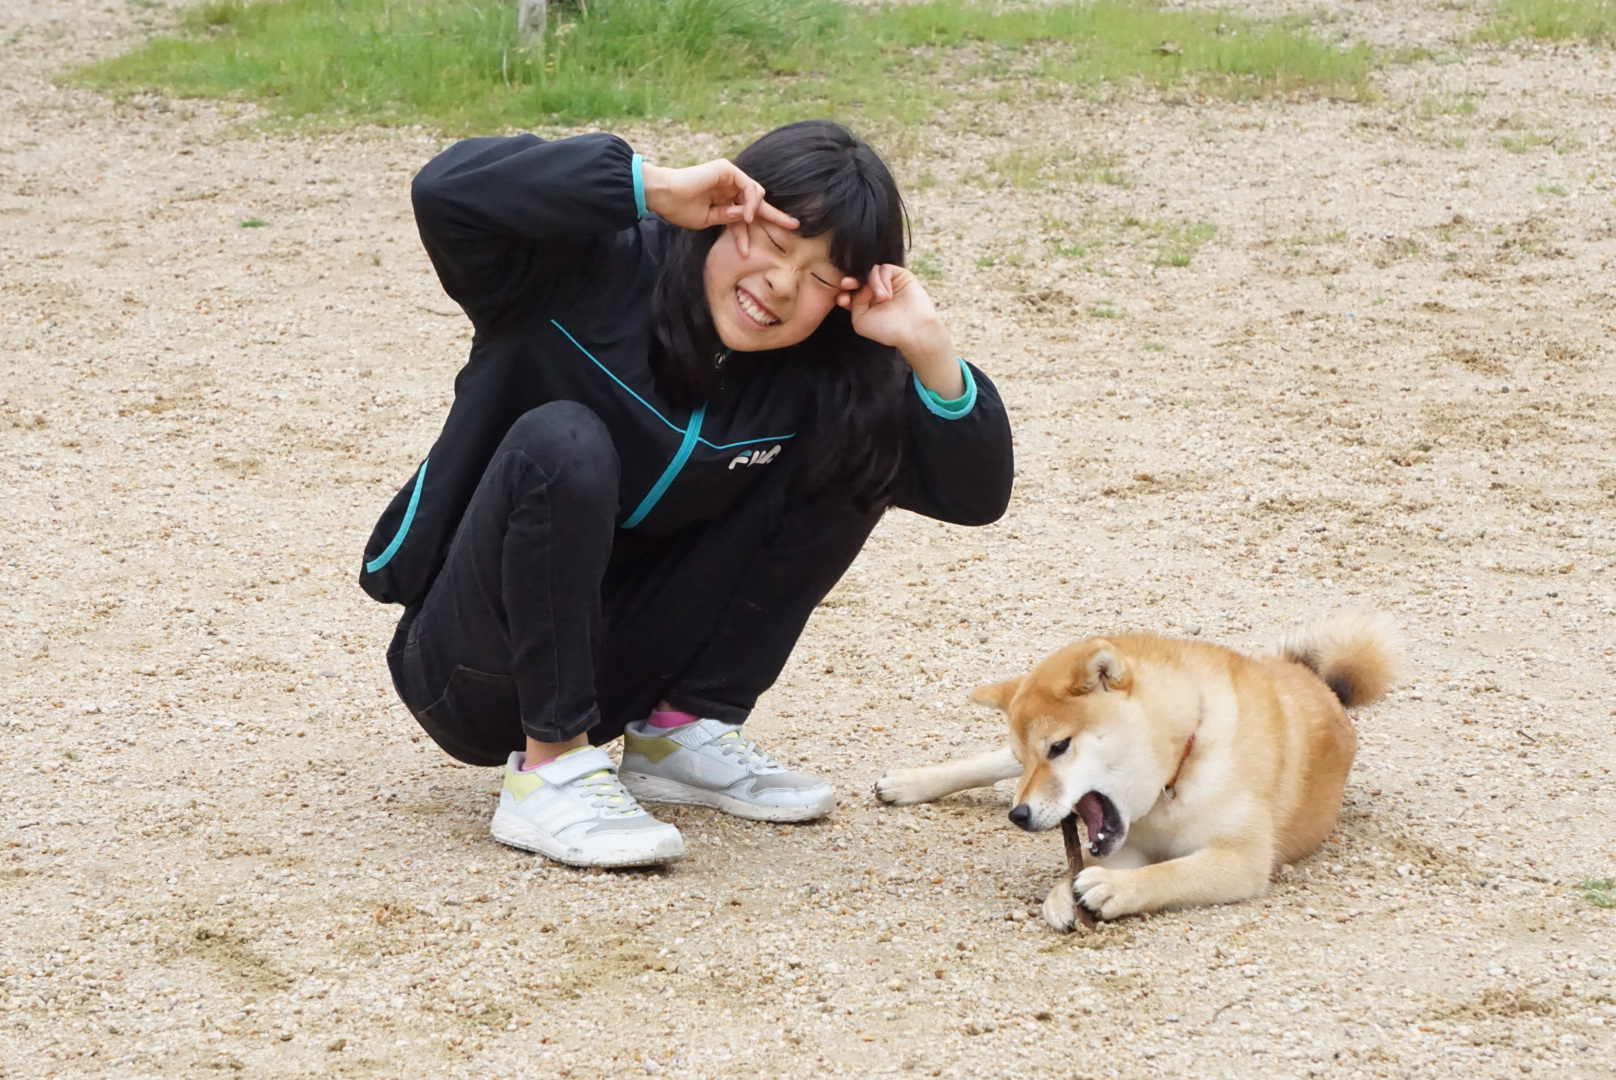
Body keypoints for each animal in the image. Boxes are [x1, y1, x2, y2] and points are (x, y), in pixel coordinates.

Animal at [879, 614, 1396, 931]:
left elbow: (1172, 872)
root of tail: (1321, 682)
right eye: (1028, 758)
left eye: (1059, 747)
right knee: (985, 763)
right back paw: (907, 782)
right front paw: (1064, 892)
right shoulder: (1129, 840)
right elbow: (1096, 861)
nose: (1018, 816)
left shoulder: (1241, 859)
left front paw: (1109, 889)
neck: (1180, 766)